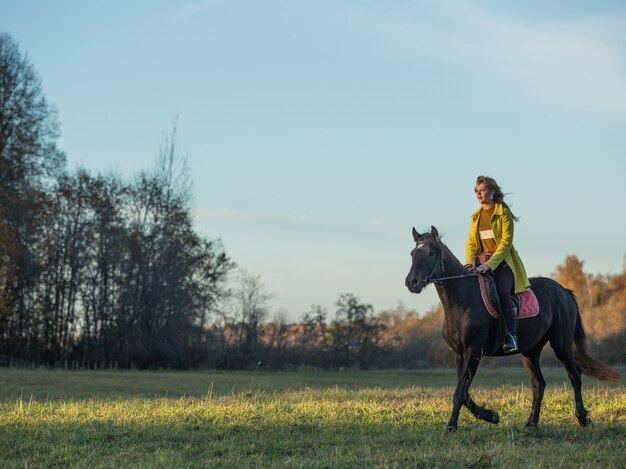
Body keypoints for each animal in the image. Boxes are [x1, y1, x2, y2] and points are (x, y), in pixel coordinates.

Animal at [404, 225, 620, 430]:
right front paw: (491, 416)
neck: (462, 300)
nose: (411, 282)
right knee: (539, 384)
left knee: (575, 375)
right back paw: (531, 424)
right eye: (412, 253)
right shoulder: (460, 354)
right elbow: (464, 392)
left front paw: (452, 426)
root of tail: (563, 291)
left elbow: (460, 392)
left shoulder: (474, 351)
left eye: (431, 253)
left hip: (561, 344)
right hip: (530, 351)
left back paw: (582, 418)